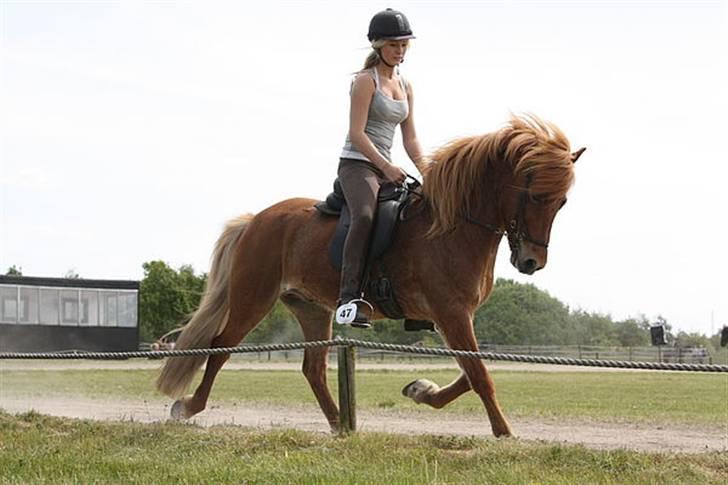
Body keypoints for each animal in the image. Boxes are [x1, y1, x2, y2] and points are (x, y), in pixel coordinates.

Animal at [156, 114, 584, 438]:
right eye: (536, 196)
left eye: (562, 202)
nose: (531, 262)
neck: (452, 227)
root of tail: (256, 219)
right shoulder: (451, 313)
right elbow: (479, 373)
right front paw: (504, 431)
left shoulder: (452, 317)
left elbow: (471, 370)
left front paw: (420, 389)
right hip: (253, 299)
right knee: (219, 348)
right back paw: (188, 406)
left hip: (312, 309)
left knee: (312, 369)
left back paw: (339, 424)